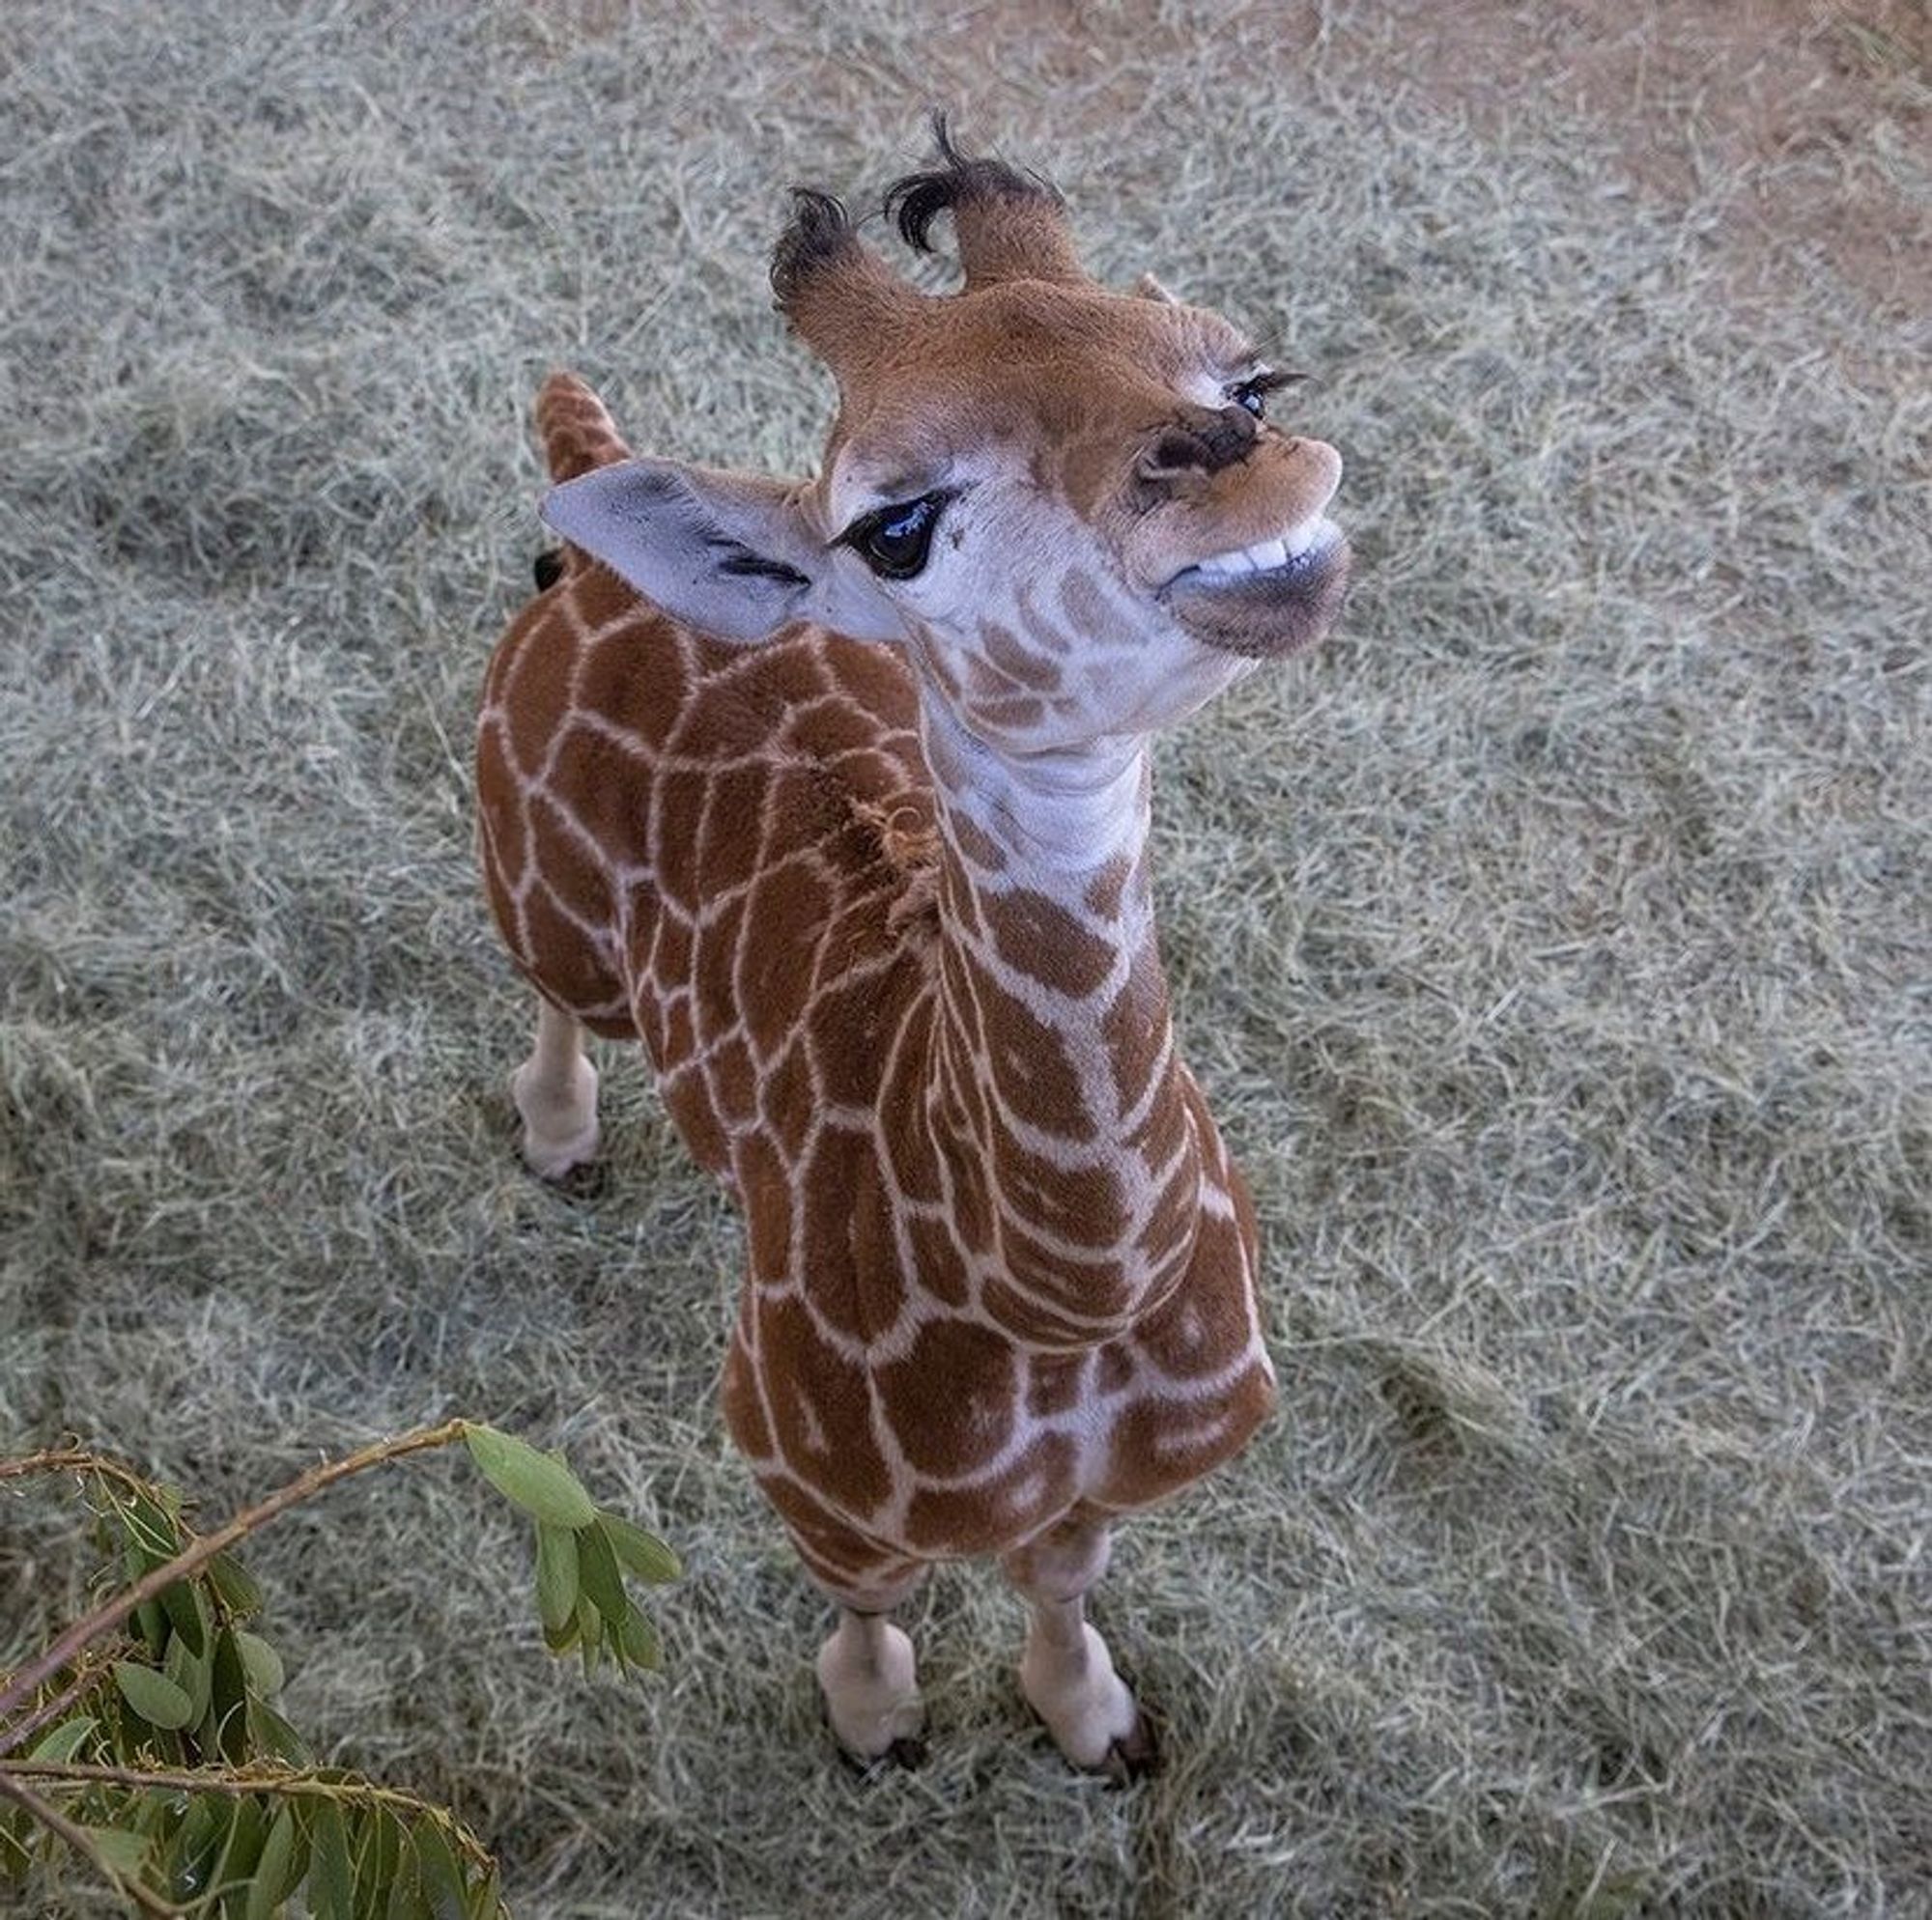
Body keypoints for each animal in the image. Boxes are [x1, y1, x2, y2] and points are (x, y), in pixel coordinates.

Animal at [475, 127, 1352, 1777]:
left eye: (1251, 381)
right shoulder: (805, 1469)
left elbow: (1063, 1581)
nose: (1246, 472)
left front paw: (1094, 1723)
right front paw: (878, 1725)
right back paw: (561, 1144)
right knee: (557, 1004)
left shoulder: (1119, 1487)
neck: (1062, 1302)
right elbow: (870, 1604)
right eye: (894, 526)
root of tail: (581, 495)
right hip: (532, 892)